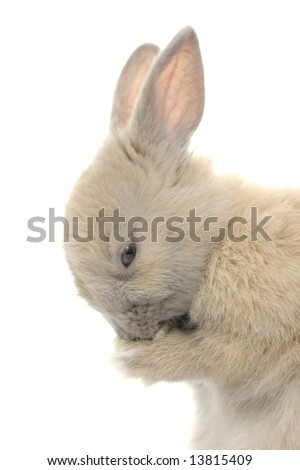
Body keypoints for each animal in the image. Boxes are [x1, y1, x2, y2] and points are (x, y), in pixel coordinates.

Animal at [64, 26, 300, 452]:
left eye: (129, 253)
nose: (132, 334)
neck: (218, 241)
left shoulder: (266, 341)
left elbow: (218, 357)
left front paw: (134, 360)